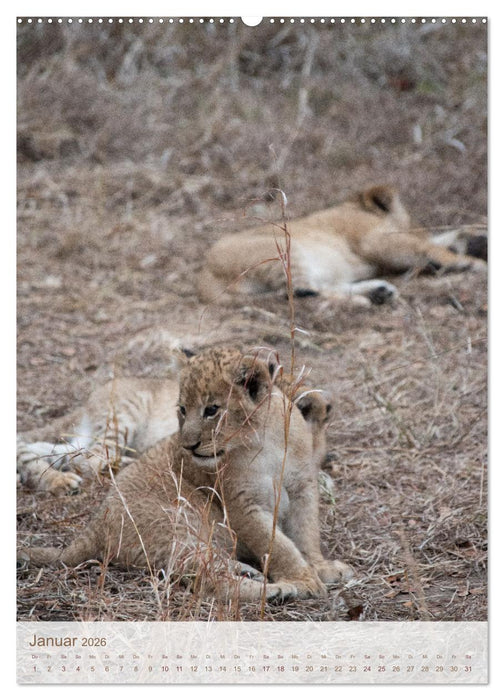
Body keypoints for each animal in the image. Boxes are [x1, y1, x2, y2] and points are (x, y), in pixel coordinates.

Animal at [19, 347, 352, 603]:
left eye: (212, 410)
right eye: (181, 408)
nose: (187, 445)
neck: (264, 440)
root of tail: (93, 528)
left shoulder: (301, 489)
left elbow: (306, 535)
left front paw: (322, 567)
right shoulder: (241, 503)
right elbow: (279, 547)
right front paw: (305, 580)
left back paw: (251, 572)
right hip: (179, 525)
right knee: (208, 582)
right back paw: (277, 592)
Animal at [197, 185, 485, 307]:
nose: (420, 226)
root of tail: (204, 281)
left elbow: (437, 240)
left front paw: (476, 237)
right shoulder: (378, 241)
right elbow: (431, 247)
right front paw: (472, 261)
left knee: (315, 288)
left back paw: (378, 292)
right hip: (284, 250)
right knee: (303, 292)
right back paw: (366, 300)